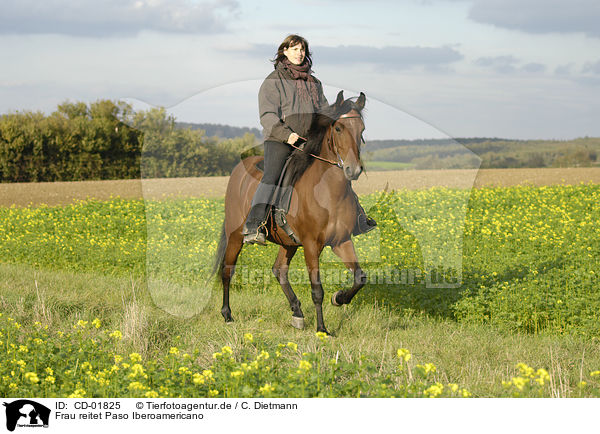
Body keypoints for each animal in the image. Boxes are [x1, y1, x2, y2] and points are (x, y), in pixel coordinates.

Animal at [211, 91, 370, 336]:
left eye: (361, 129)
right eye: (338, 128)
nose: (353, 170)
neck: (328, 193)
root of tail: (238, 170)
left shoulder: (341, 241)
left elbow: (359, 278)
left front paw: (339, 298)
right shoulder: (312, 245)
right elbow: (317, 290)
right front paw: (322, 329)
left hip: (288, 242)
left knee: (279, 271)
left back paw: (297, 313)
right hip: (235, 236)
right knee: (227, 271)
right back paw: (227, 315)